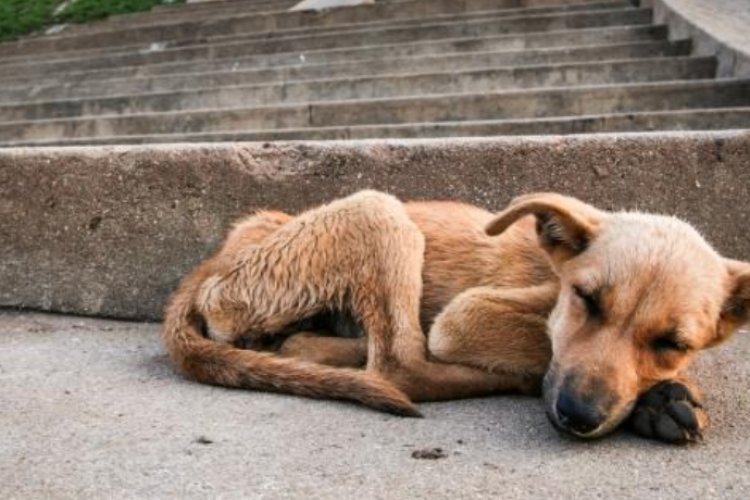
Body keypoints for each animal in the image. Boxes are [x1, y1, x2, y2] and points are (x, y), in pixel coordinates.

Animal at [164, 189, 750, 444]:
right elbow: (540, 347)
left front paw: (662, 394)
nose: (578, 415)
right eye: (586, 299)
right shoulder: (465, 315)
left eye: (673, 343)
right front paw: (657, 398)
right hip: (378, 210)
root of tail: (213, 263)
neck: (552, 270)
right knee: (401, 365)